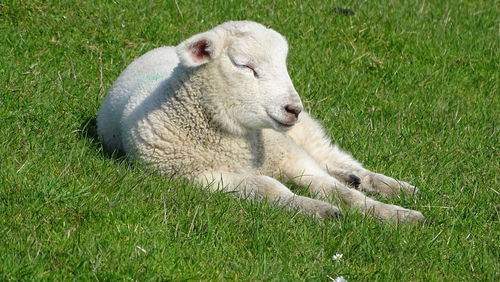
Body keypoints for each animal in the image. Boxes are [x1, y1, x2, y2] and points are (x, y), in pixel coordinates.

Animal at [97, 20, 426, 223]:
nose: (294, 108)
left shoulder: (291, 155)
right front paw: (316, 209)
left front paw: (398, 215)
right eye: (246, 66)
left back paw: (392, 186)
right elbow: (271, 189)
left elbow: (337, 191)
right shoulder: (202, 176)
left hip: (304, 133)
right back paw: (356, 178)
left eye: (284, 65)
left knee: (334, 157)